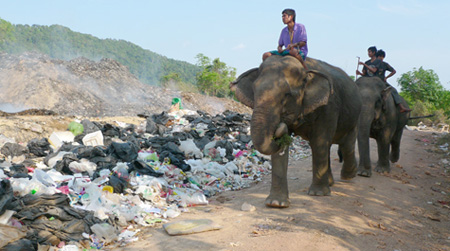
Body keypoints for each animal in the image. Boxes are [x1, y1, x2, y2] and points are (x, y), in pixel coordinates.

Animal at [232, 56, 362, 209]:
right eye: (254, 90)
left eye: (287, 95)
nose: (280, 126)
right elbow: (281, 151)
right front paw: (276, 203)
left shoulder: (329, 106)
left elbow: (319, 142)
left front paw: (318, 194)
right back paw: (331, 182)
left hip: (354, 117)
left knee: (346, 143)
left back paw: (349, 175)